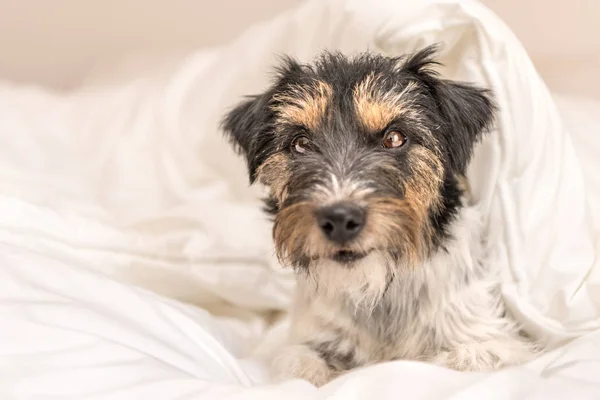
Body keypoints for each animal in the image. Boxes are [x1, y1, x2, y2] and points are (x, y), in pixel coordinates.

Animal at [219, 45, 536, 386]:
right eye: (300, 143)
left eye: (395, 138)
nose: (340, 219)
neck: (381, 294)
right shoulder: (306, 343)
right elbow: (300, 365)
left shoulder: (490, 341)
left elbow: (463, 359)